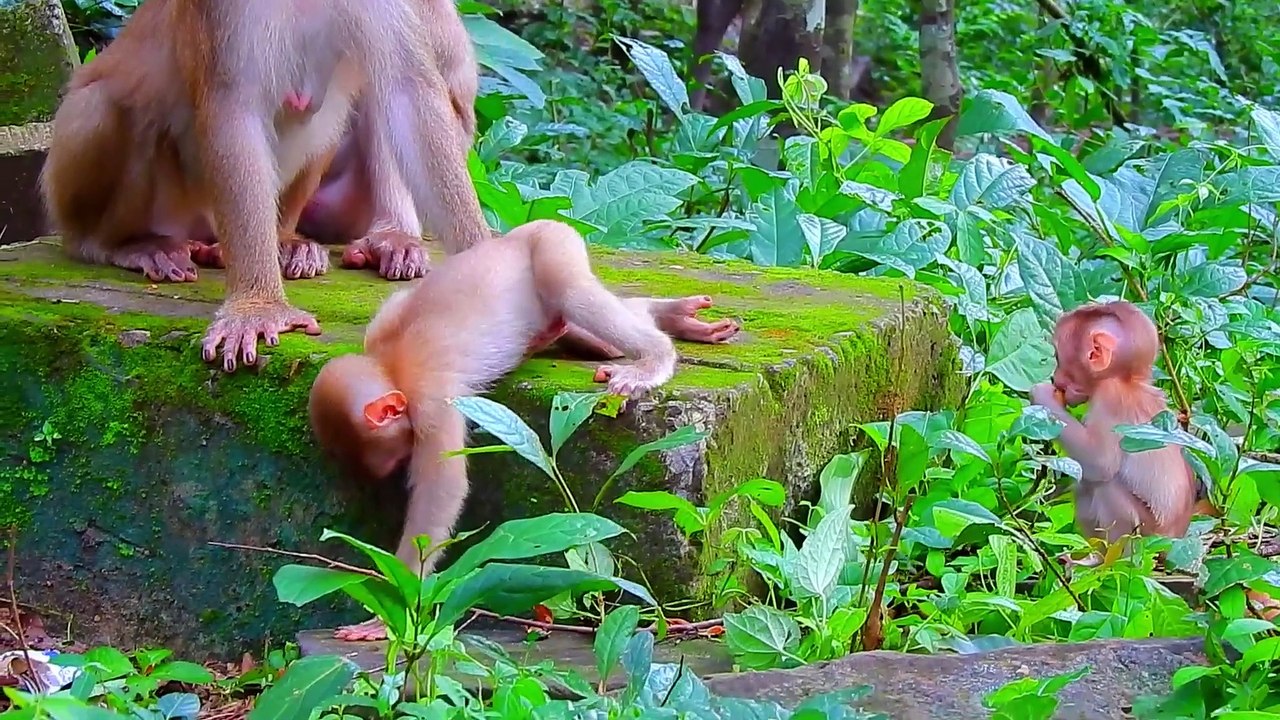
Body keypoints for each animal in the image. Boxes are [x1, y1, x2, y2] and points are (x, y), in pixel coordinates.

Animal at [40, 0, 490, 372]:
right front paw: (258, 308)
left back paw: (288, 241)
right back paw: (123, 244)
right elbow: (234, 112)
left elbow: (408, 89)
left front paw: (488, 269)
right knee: (104, 105)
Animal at [308, 219, 741, 641]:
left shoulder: (432, 406)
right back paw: (667, 316)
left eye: (373, 454)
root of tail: (521, 232)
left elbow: (442, 489)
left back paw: (654, 355)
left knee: (575, 293)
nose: (377, 472)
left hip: (554, 246)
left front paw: (393, 603)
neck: (389, 366)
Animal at [1029, 300, 1197, 560]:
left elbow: (1100, 462)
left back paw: (1110, 561)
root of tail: (1173, 542)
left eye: (1058, 356)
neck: (1128, 380)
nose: (1055, 379)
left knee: (1105, 486)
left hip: (1146, 539)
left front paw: (1043, 396)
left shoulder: (1110, 399)